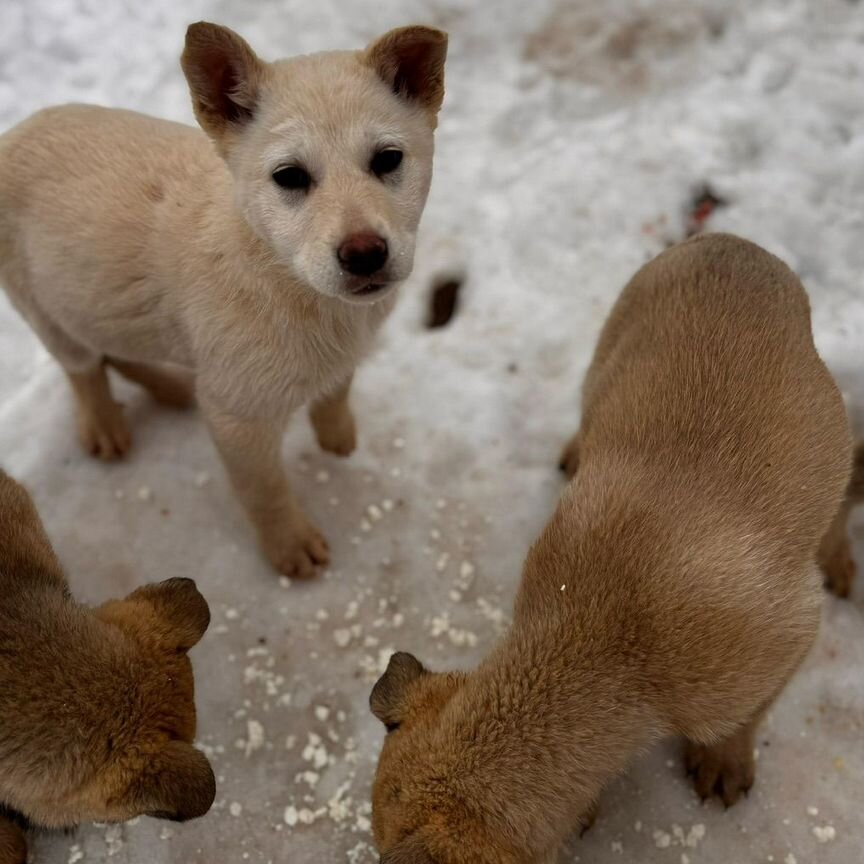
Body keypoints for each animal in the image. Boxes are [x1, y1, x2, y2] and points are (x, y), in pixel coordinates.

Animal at [368, 235, 852, 864]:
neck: (609, 642)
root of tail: (732, 243)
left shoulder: (791, 633)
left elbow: (749, 717)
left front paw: (723, 763)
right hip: (605, 356)